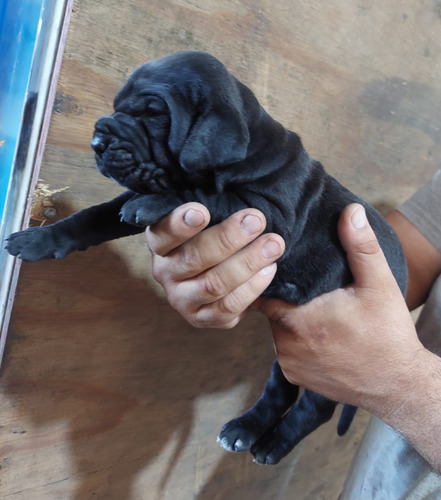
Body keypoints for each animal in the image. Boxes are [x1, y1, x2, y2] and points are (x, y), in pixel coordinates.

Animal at [6, 50, 406, 464]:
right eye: (118, 107)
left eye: (153, 112)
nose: (97, 139)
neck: (243, 153)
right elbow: (95, 216)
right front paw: (40, 239)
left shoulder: (271, 216)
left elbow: (205, 197)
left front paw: (155, 202)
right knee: (282, 387)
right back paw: (244, 431)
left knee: (315, 408)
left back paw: (274, 444)